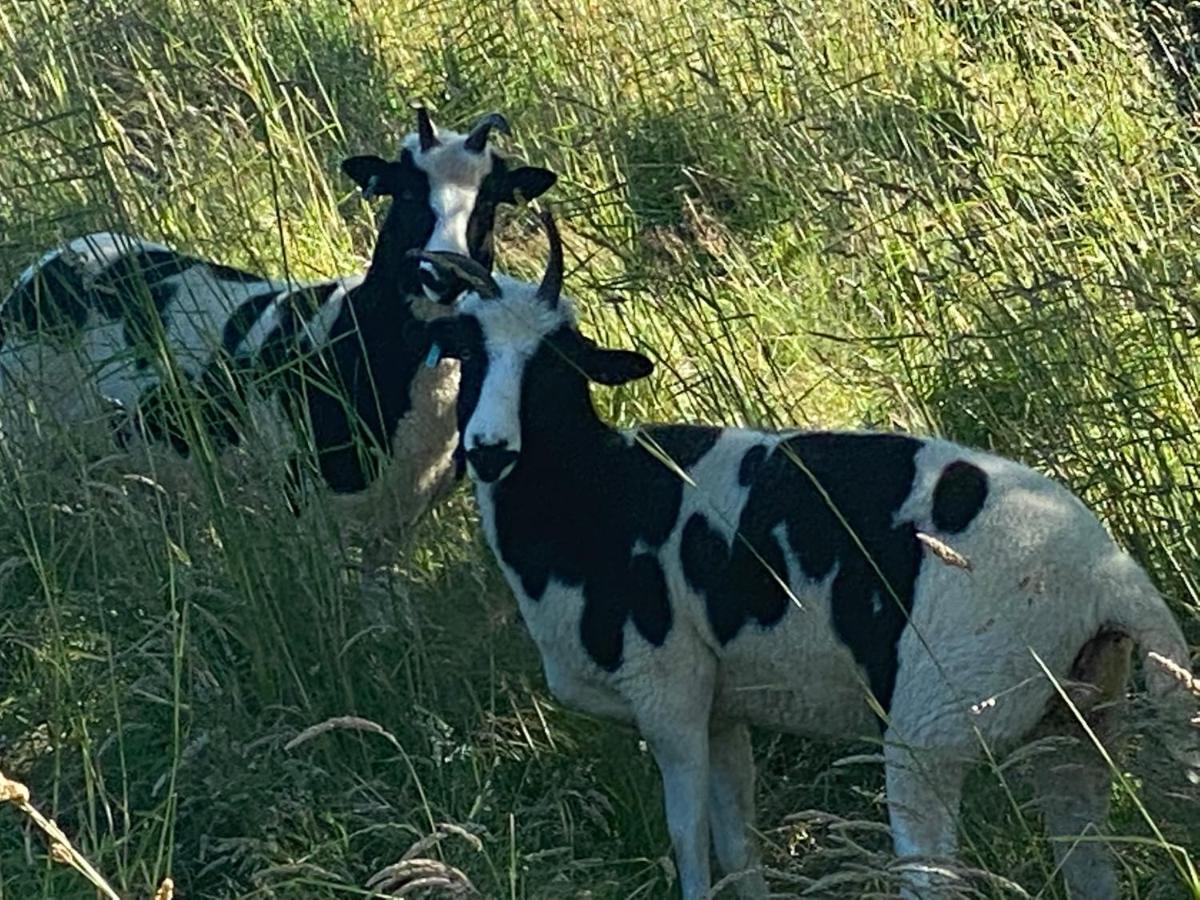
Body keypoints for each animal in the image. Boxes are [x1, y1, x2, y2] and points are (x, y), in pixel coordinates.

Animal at [0, 107, 552, 528]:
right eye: (409, 194)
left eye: (488, 202)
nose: (442, 274)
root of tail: (47, 263)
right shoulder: (311, 507)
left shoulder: (397, 520)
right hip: (28, 440)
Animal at [415, 217, 1200, 900]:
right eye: (470, 355)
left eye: (555, 362)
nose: (489, 450)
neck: (592, 491)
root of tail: (1110, 576)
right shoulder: (723, 708)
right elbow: (740, 845)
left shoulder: (669, 691)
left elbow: (690, 846)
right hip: (1072, 728)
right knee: (1089, 865)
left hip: (934, 729)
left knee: (935, 879)